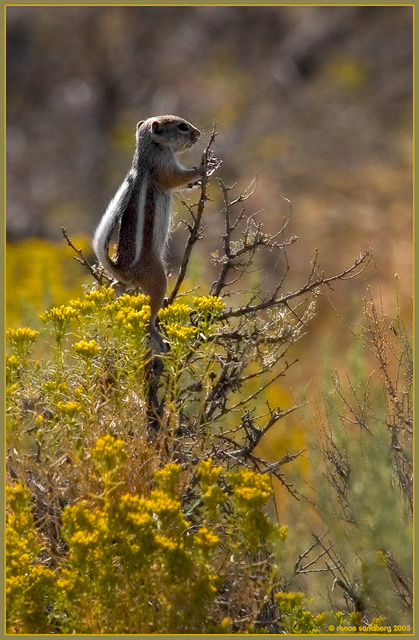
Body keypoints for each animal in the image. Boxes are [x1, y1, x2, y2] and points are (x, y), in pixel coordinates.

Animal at [93, 115, 206, 348]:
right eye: (182, 126)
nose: (198, 134)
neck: (149, 149)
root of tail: (121, 268)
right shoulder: (164, 168)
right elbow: (177, 178)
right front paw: (202, 169)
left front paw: (199, 180)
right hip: (157, 278)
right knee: (148, 317)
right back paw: (156, 336)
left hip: (130, 282)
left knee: (117, 285)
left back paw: (117, 291)